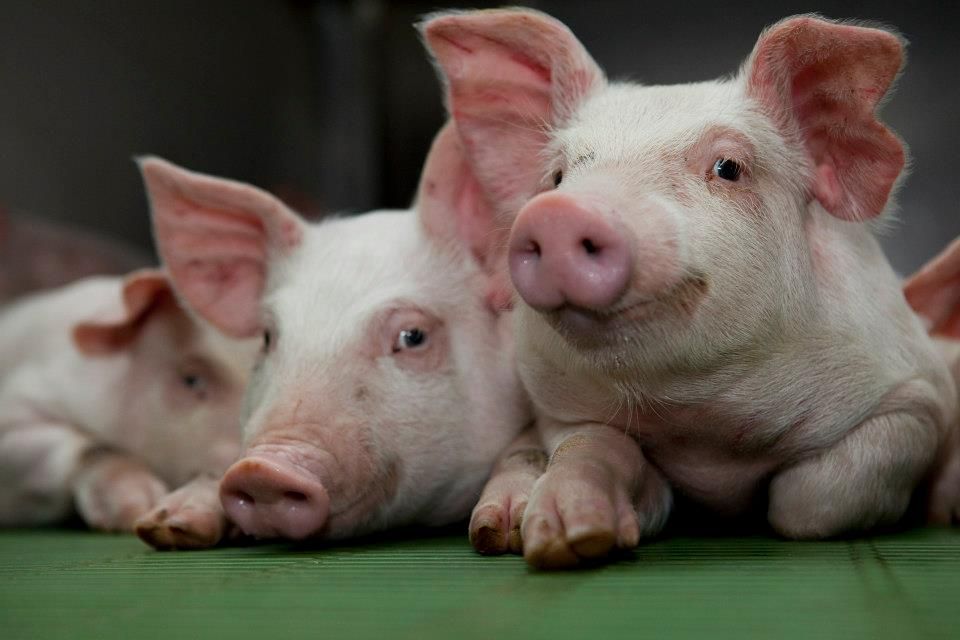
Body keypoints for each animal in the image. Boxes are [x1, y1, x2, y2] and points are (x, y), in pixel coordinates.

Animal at [421, 9, 958, 568]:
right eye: (558, 175)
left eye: (728, 168)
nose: (559, 213)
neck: (703, 430)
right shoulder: (561, 409)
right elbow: (587, 448)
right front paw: (564, 539)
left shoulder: (915, 400)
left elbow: (805, 502)